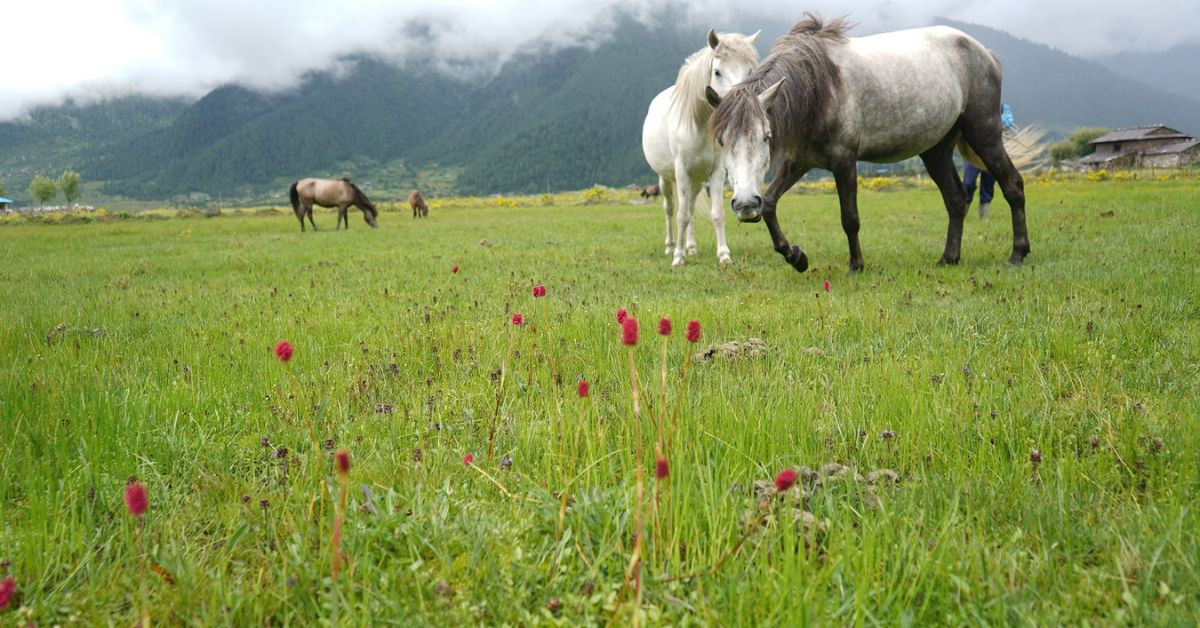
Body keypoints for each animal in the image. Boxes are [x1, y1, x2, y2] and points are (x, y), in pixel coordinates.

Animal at [638, 28, 758, 265]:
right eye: (717, 72)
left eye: (750, 70)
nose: (739, 107)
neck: (700, 126)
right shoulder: (682, 170)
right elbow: (681, 215)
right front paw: (678, 257)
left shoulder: (717, 172)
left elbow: (716, 213)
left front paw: (723, 255)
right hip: (666, 179)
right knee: (670, 209)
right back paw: (671, 246)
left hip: (696, 181)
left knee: (691, 208)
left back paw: (691, 247)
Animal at [705, 15, 1027, 272]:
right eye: (721, 141)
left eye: (766, 136)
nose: (745, 204)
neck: (819, 87)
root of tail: (985, 53)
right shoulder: (801, 161)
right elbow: (771, 203)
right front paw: (796, 257)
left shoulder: (844, 161)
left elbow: (850, 218)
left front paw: (856, 265)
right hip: (936, 150)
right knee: (956, 198)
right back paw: (949, 258)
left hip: (983, 134)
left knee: (1012, 184)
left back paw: (1017, 254)